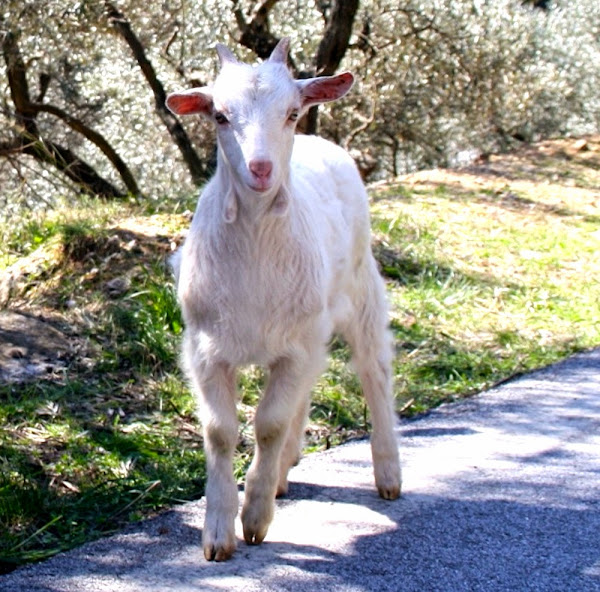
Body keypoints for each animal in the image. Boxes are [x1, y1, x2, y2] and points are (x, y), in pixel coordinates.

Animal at [165, 39, 398, 560]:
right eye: (220, 116)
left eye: (292, 113)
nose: (261, 169)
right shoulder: (207, 348)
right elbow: (221, 430)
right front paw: (217, 533)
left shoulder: (295, 347)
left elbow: (268, 423)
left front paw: (254, 517)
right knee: (307, 391)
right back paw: (285, 472)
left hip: (362, 293)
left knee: (374, 372)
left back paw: (388, 473)